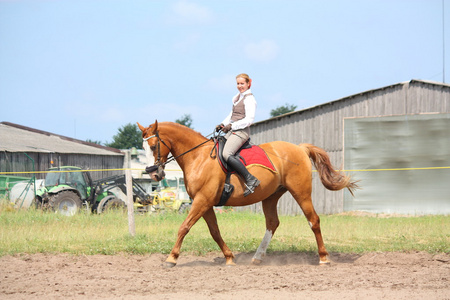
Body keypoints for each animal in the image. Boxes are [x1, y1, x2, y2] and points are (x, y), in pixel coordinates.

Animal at [139, 121, 356, 268]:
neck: (199, 158)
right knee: (272, 223)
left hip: (301, 193)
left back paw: (324, 257)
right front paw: (229, 258)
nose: (153, 173)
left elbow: (184, 227)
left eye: (153, 146)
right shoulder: (205, 203)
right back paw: (257, 258)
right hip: (271, 196)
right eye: (142, 148)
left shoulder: (202, 201)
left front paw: (171, 258)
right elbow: (215, 232)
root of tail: (300, 148)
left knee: (313, 220)